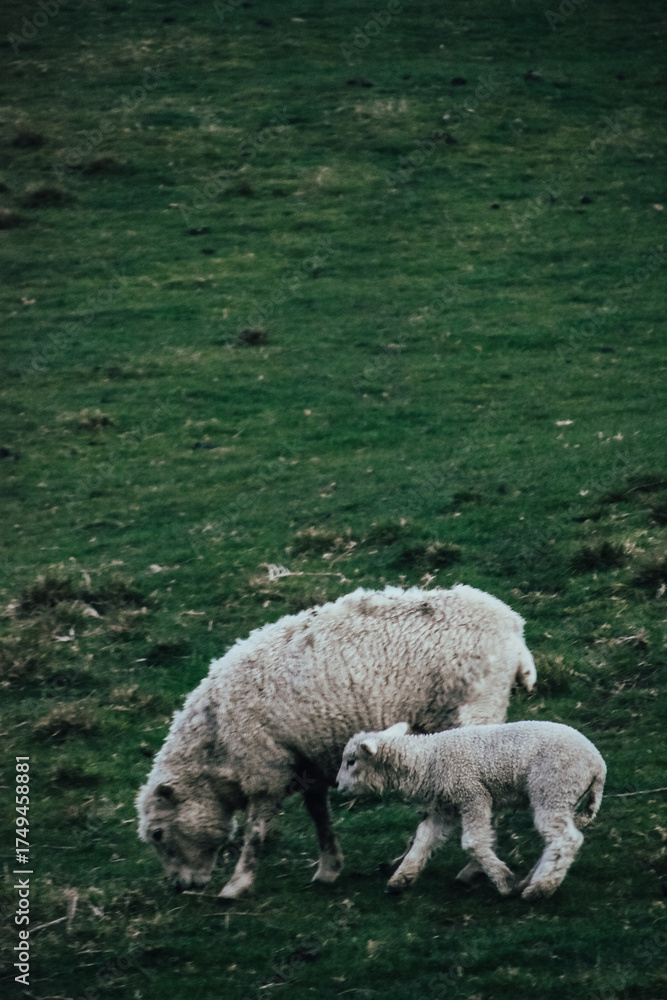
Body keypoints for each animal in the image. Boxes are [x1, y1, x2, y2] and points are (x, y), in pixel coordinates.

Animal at [137, 584, 536, 900]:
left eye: (157, 834)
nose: (180, 886)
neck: (215, 737)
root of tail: (514, 627)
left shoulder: (265, 767)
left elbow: (256, 831)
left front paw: (237, 884)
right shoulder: (306, 762)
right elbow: (319, 814)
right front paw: (329, 867)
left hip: (476, 715)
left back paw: (470, 871)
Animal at [336, 720, 606, 900]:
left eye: (351, 761)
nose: (337, 786)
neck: (427, 760)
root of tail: (598, 765)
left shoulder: (472, 795)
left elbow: (473, 842)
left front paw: (504, 881)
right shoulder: (444, 809)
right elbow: (423, 840)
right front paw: (400, 880)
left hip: (553, 788)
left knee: (566, 840)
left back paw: (539, 889)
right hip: (564, 797)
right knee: (556, 842)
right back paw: (533, 880)